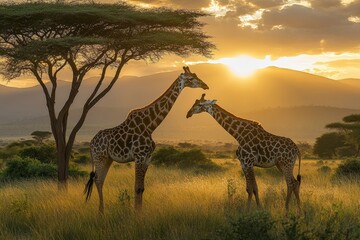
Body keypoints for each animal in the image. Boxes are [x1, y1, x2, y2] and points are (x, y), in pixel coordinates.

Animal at [84, 66, 208, 213]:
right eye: (190, 78)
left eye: (196, 75)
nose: (205, 85)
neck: (150, 126)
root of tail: (91, 143)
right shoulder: (139, 156)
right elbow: (137, 188)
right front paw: (136, 214)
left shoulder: (148, 157)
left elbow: (142, 188)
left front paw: (139, 212)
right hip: (100, 157)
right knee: (97, 180)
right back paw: (101, 212)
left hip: (108, 159)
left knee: (101, 180)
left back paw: (101, 211)